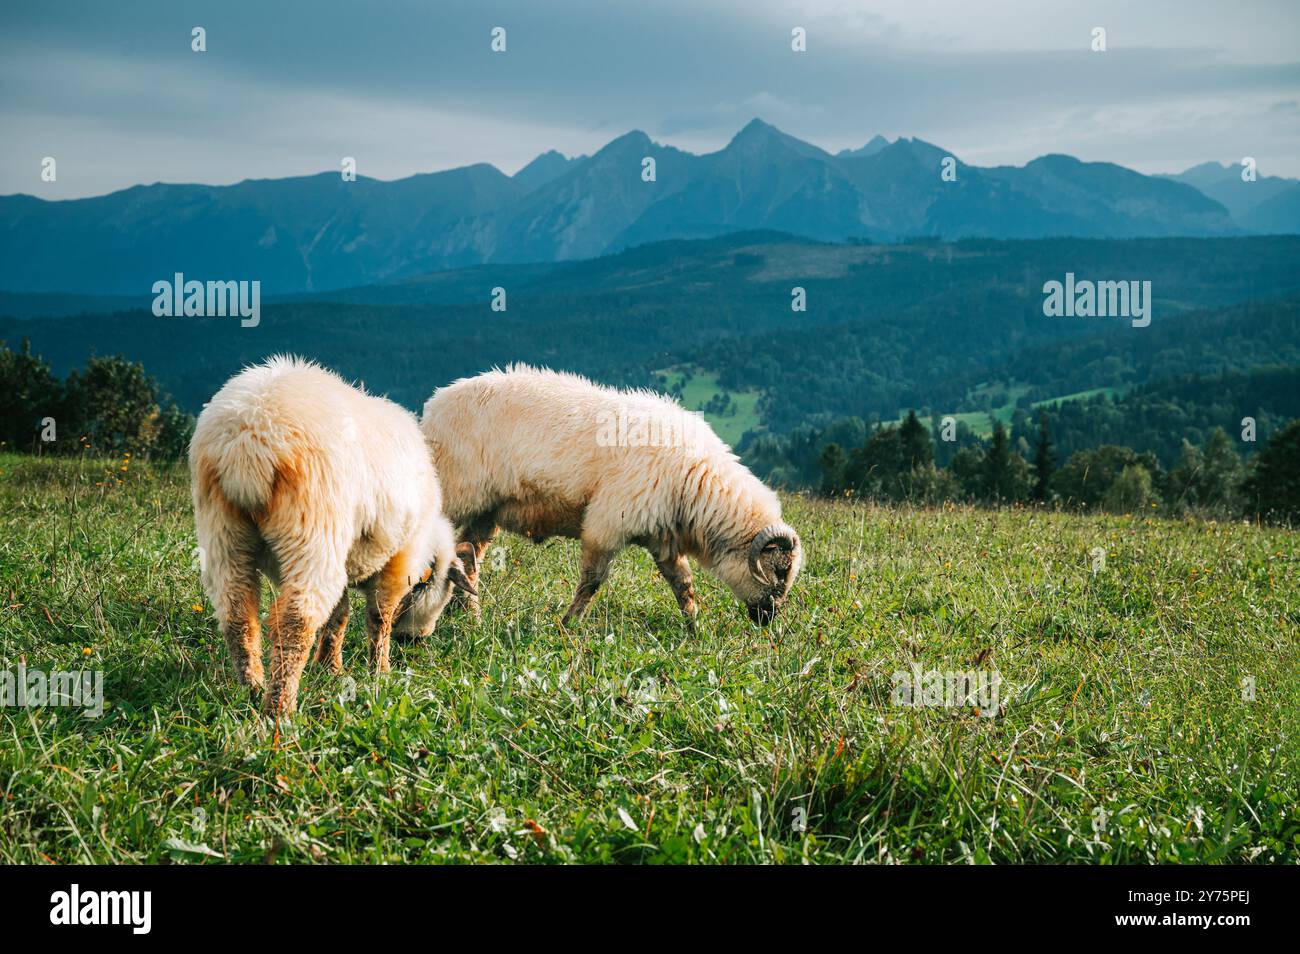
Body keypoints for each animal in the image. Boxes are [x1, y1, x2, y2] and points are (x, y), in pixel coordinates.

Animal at [190, 356, 473, 716]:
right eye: (444, 590)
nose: (416, 639)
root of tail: (248, 438)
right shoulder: (399, 561)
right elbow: (380, 618)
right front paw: (380, 672)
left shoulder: (346, 556)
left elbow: (339, 615)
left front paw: (329, 667)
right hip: (312, 531)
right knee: (295, 620)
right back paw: (280, 707)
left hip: (223, 529)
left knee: (236, 610)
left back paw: (251, 687)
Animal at [420, 366, 802, 626]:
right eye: (780, 571)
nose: (771, 619)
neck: (695, 480)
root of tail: (434, 403)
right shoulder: (606, 524)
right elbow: (592, 582)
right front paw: (568, 624)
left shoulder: (661, 534)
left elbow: (683, 583)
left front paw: (694, 626)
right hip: (454, 493)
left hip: (488, 509)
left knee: (468, 552)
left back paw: (469, 614)